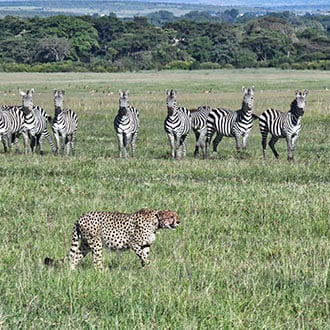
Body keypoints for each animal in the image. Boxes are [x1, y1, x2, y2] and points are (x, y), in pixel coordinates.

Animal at [44, 209, 180, 270]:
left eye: (176, 215)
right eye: (171, 216)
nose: (178, 221)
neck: (156, 222)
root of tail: (80, 217)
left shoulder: (146, 245)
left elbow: (144, 255)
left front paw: (145, 268)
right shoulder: (133, 243)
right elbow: (143, 255)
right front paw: (148, 265)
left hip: (85, 245)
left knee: (75, 256)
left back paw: (72, 271)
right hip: (96, 243)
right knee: (96, 260)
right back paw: (103, 272)